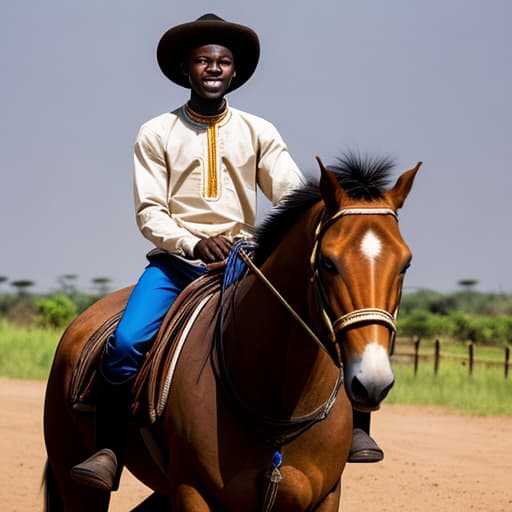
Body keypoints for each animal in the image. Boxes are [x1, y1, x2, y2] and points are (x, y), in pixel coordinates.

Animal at [43, 154, 420, 510]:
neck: (278, 407)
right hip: (77, 480)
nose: (372, 382)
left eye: (405, 263)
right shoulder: (193, 492)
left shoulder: (324, 496)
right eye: (328, 262)